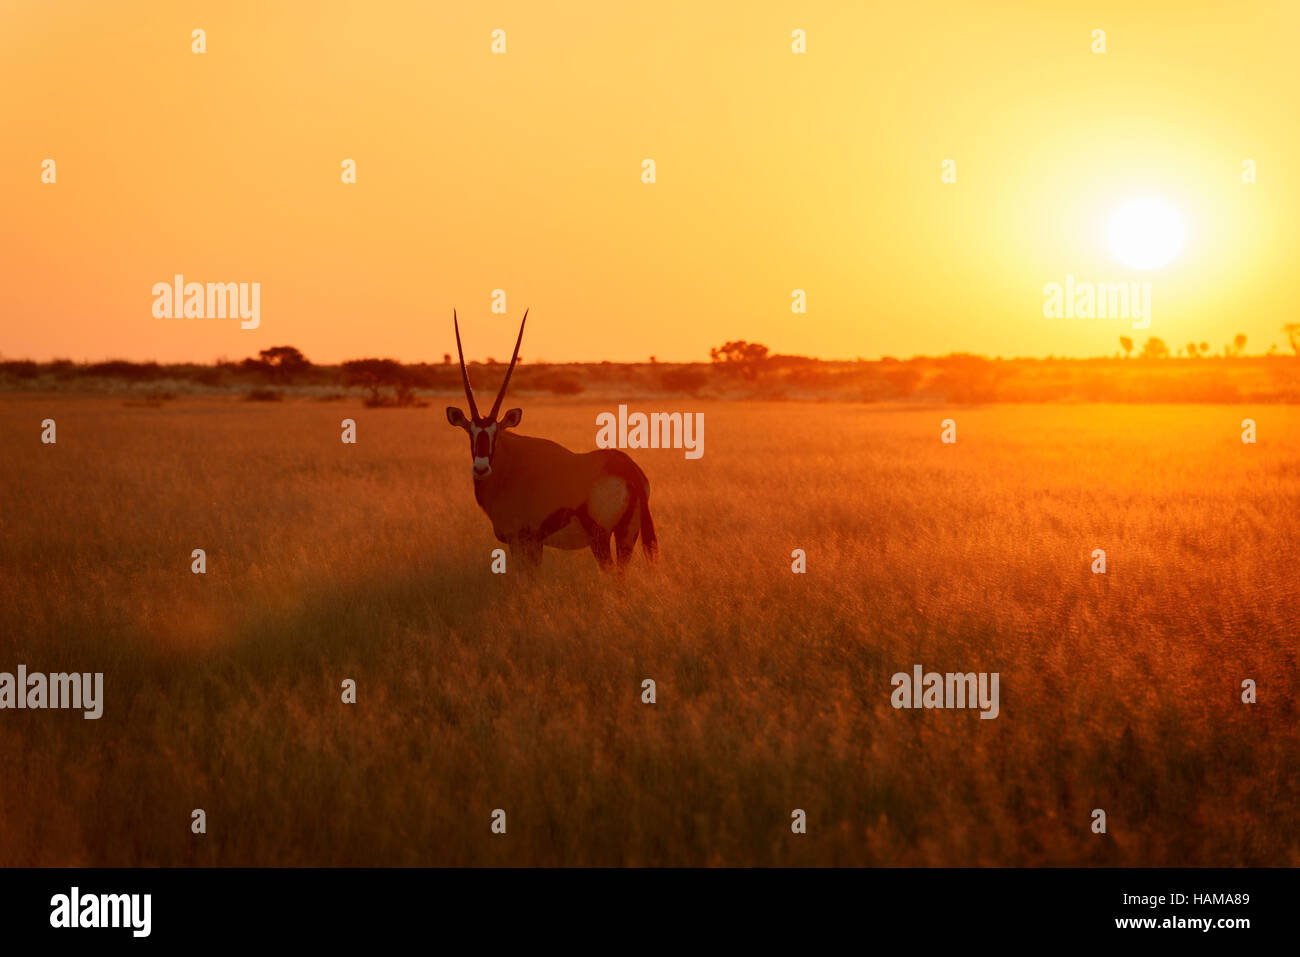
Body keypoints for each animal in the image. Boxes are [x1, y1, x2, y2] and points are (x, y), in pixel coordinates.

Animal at [444, 312, 655, 566]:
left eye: (495, 433)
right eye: (470, 432)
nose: (481, 468)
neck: (509, 466)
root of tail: (630, 472)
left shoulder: (525, 539)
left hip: (600, 539)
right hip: (627, 534)